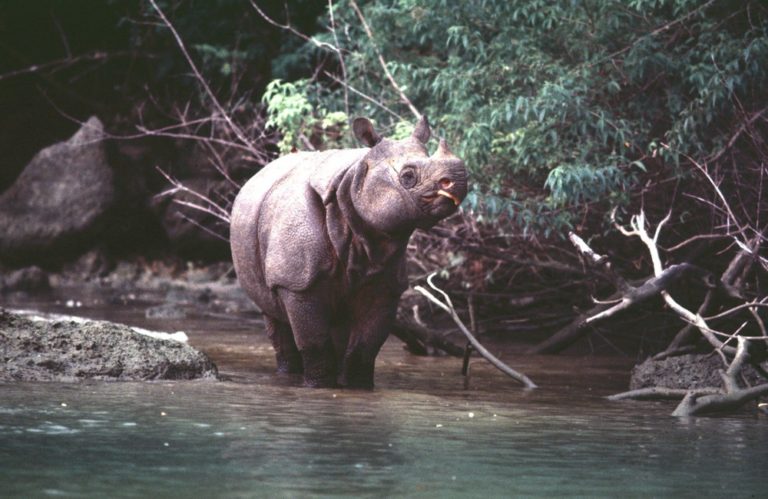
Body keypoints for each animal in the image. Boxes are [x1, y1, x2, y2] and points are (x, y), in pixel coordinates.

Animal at [230, 116, 468, 386]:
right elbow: (313, 341)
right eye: (407, 176)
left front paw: (356, 386)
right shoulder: (297, 281)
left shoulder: (386, 284)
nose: (459, 181)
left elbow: (366, 345)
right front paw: (319, 386)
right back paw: (288, 373)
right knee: (273, 314)